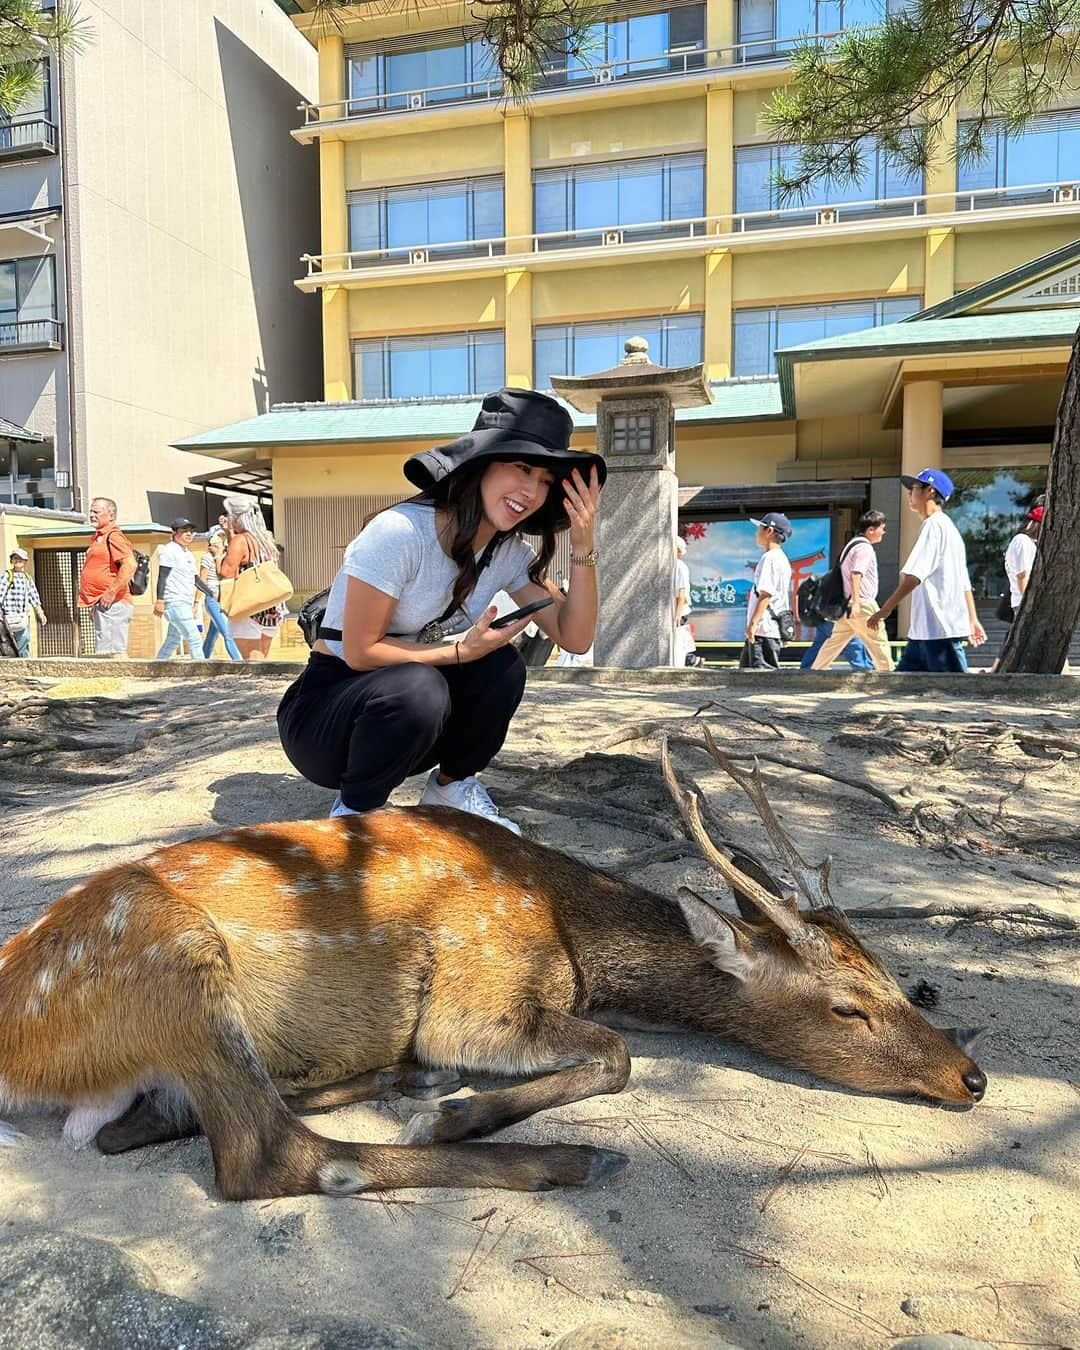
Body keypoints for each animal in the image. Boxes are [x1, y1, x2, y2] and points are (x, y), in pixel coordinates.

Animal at [0, 734, 982, 1198]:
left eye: (891, 975)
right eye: (847, 1006)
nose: (971, 1077)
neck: (566, 924)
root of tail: (20, 1055)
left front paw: (441, 1094)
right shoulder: (477, 996)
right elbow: (618, 1054)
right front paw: (462, 1113)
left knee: (143, 1126)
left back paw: (399, 1080)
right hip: (176, 957)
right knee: (268, 1159)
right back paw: (558, 1157)